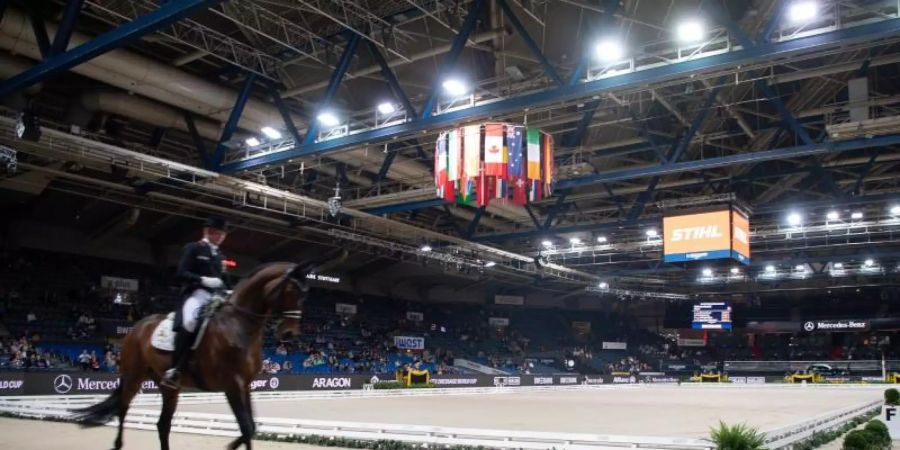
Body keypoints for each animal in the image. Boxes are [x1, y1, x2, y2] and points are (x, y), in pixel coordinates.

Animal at [72, 262, 316, 448]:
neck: (239, 325)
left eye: (305, 295)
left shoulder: (245, 385)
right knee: (123, 410)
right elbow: (246, 427)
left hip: (169, 387)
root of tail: (137, 327)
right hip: (133, 376)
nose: (289, 334)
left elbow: (251, 428)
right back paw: (117, 444)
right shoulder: (232, 384)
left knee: (162, 424)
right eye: (291, 292)